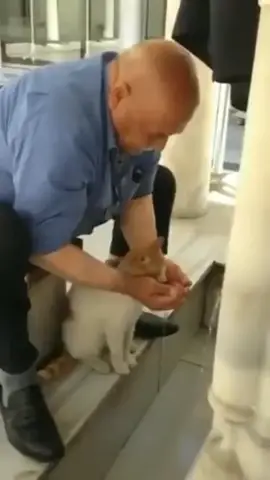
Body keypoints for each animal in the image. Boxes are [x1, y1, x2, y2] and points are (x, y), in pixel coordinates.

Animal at [62, 238, 166, 376]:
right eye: (129, 253)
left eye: (143, 258)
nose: (125, 263)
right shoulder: (114, 329)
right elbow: (117, 352)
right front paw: (122, 369)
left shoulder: (130, 324)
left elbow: (125, 346)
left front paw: (130, 360)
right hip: (90, 341)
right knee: (82, 356)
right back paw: (102, 366)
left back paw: (133, 347)